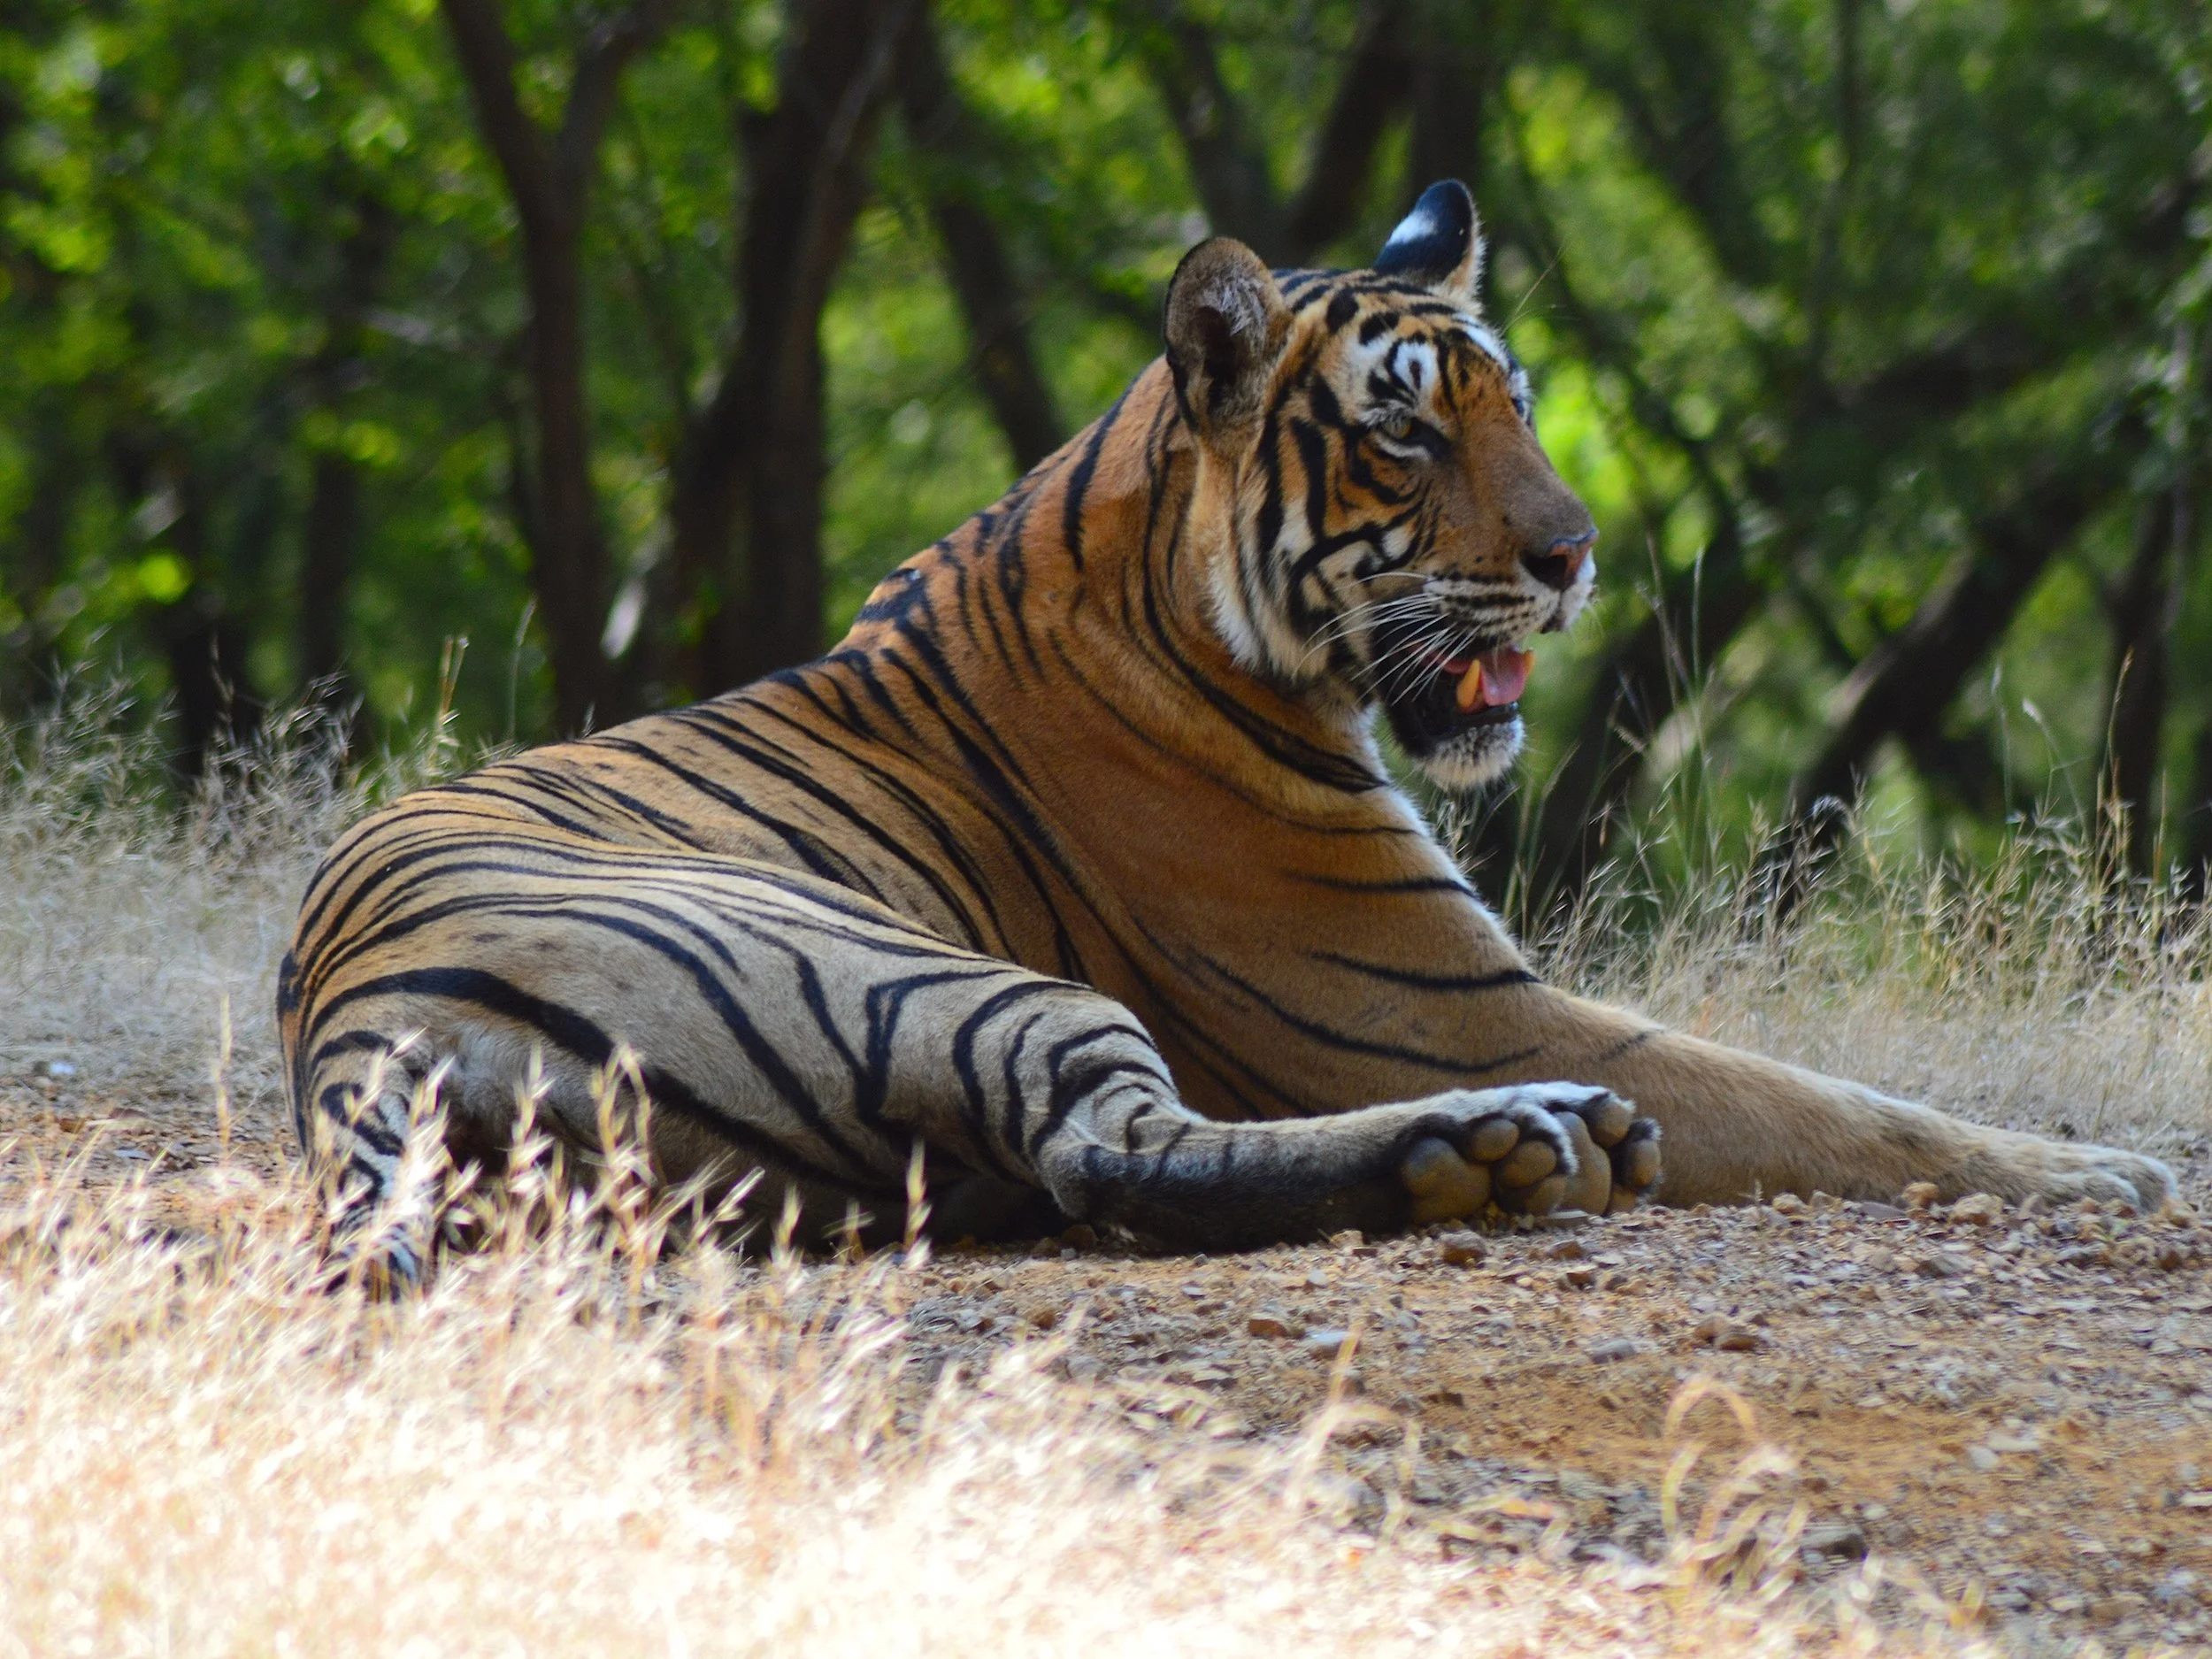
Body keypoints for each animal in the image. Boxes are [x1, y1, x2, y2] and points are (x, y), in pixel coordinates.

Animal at [279, 180, 2173, 1279]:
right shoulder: (1443, 1006)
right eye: (1407, 436)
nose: (1574, 559)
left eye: (1517, 404)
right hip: (940, 978)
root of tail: (361, 1022)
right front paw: (2114, 1174)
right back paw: (1503, 1144)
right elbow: (1845, 1108)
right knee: (1112, 1155)